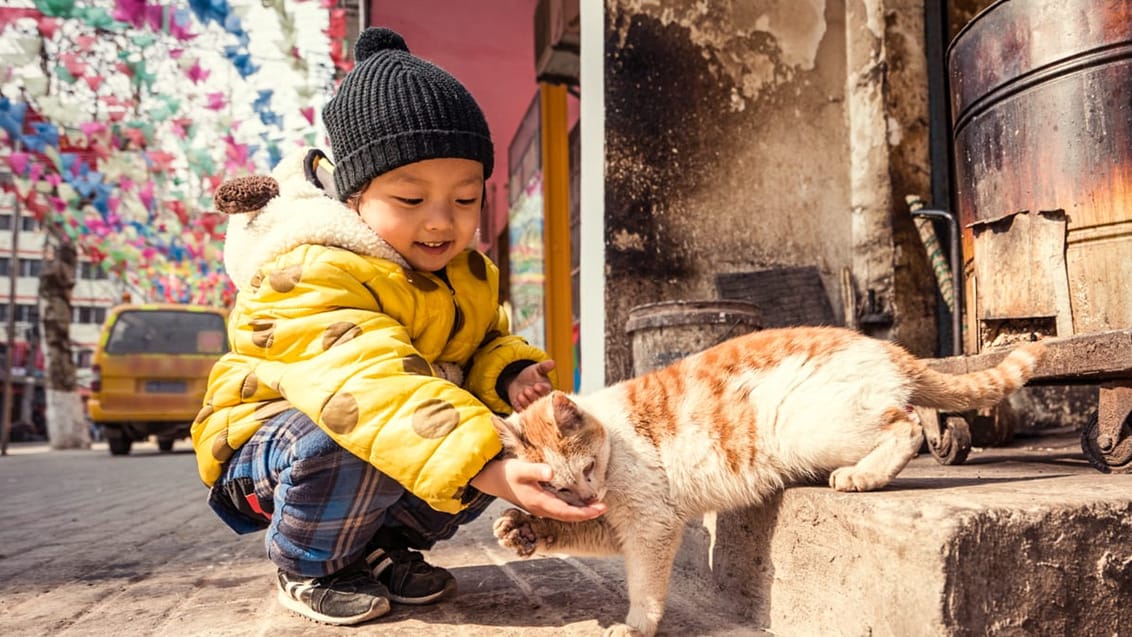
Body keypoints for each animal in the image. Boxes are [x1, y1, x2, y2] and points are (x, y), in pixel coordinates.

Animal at [489, 325, 1041, 633]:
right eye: (559, 488)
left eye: (586, 470)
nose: (587, 494)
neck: (613, 440)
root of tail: (886, 347)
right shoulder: (615, 522)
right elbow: (577, 529)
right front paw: (522, 528)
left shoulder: (651, 524)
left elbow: (644, 585)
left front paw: (636, 626)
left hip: (813, 428)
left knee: (907, 425)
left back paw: (861, 476)